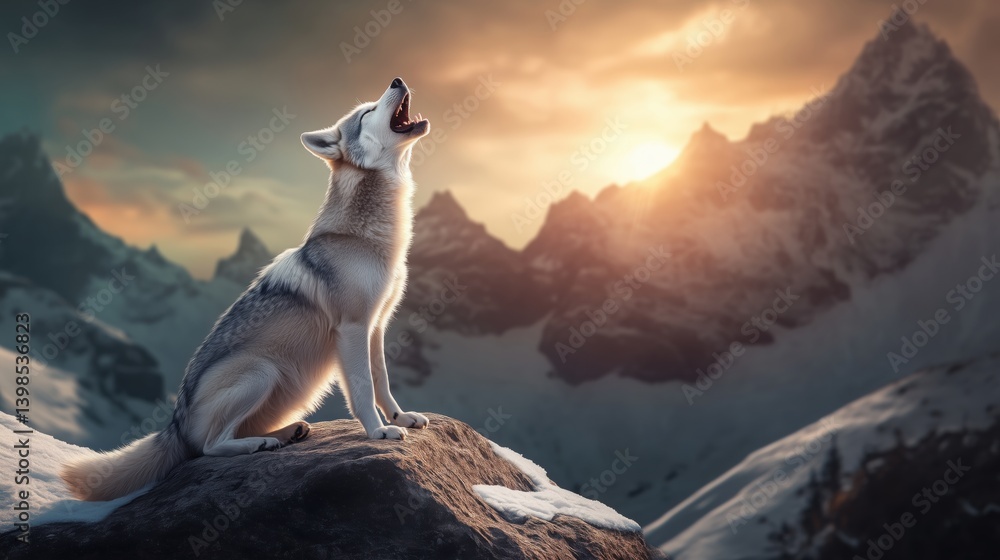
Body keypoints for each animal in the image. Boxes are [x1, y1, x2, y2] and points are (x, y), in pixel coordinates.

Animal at [61, 77, 432, 501]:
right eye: (367, 111)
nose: (397, 80)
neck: (370, 237)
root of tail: (174, 423)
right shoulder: (353, 328)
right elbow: (363, 390)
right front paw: (378, 431)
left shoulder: (376, 327)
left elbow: (382, 381)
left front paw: (401, 416)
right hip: (261, 371)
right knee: (209, 446)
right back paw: (261, 443)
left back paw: (288, 433)